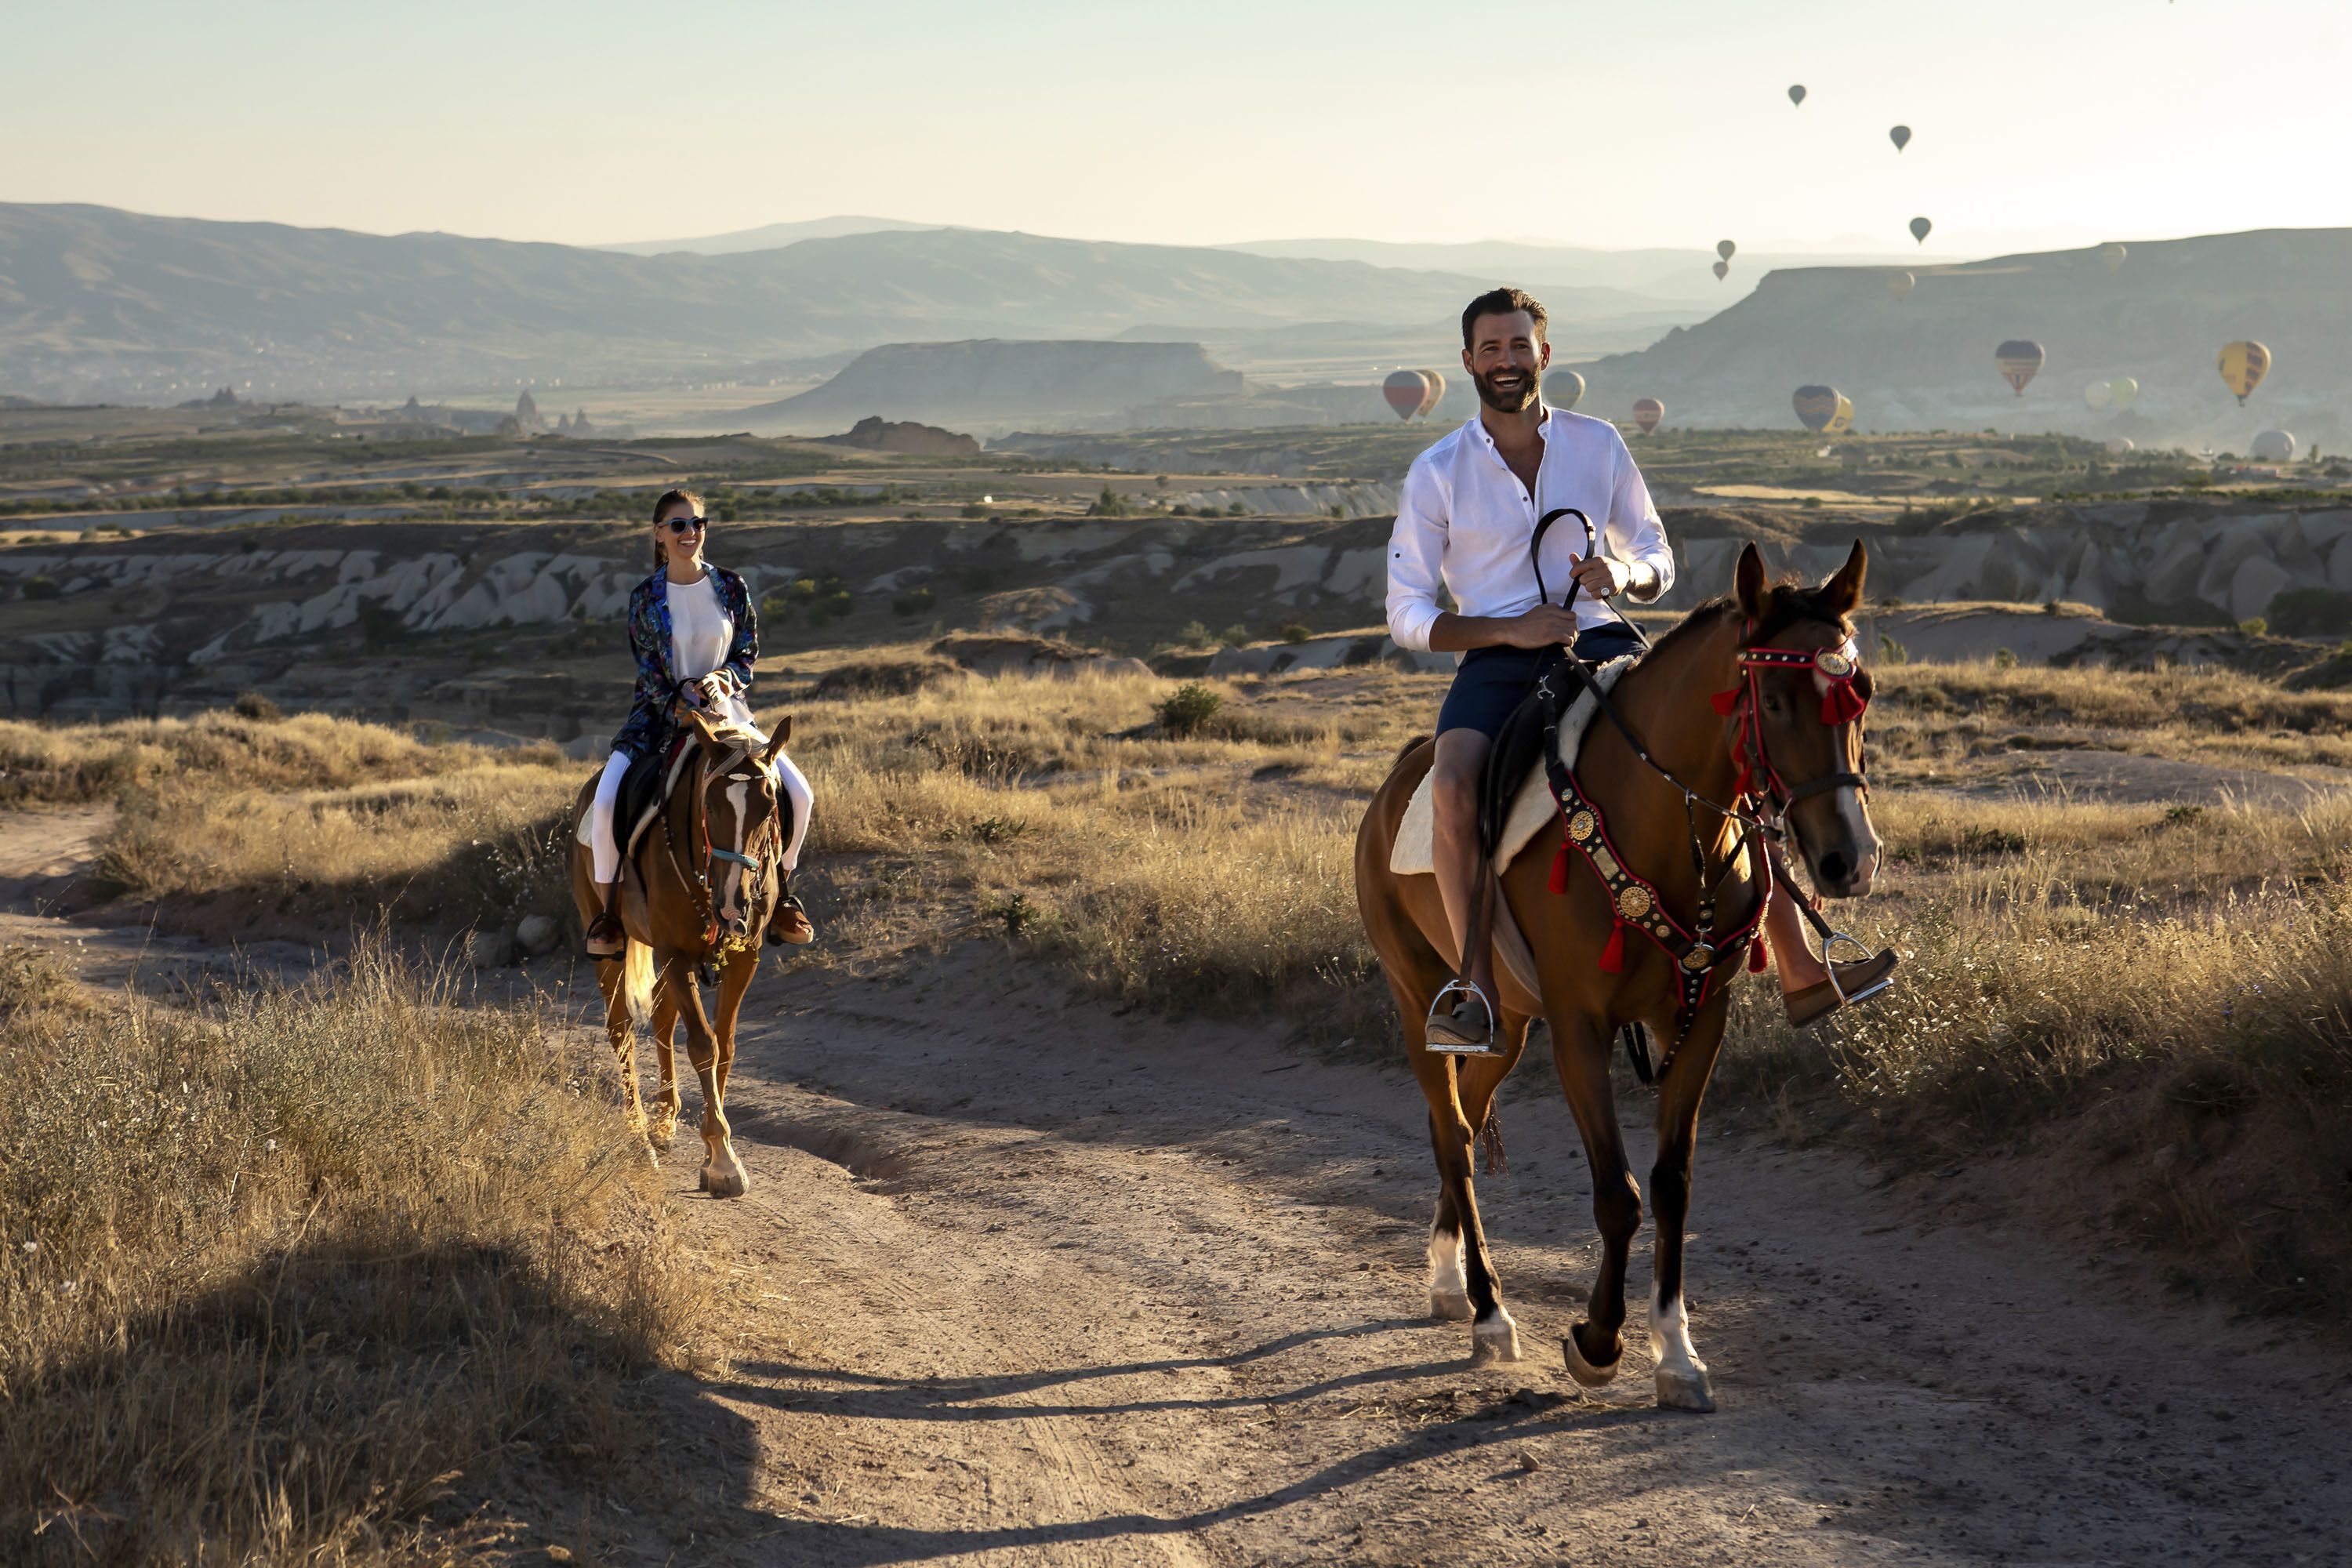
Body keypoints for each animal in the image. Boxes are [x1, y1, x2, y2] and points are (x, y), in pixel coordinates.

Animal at [569, 707, 795, 1198]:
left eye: (771, 808)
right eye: (709, 806)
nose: (733, 904)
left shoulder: (744, 956)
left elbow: (725, 1043)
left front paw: (714, 1153)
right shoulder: (675, 950)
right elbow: (703, 1044)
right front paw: (723, 1159)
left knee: (660, 1012)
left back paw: (664, 1121)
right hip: (611, 943)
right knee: (621, 1029)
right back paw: (640, 1136)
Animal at [1353, 541, 1883, 1410]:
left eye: (1861, 694)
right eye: (1771, 699)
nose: (1851, 860)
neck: (1660, 826)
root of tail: (1399, 777)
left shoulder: (1699, 1021)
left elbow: (1671, 1184)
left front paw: (1678, 1353)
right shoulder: (1580, 1027)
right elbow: (1618, 1193)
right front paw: (1599, 1341)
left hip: (1509, 1023)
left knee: (1460, 1119)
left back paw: (1450, 1277)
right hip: (1414, 996)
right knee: (1456, 1136)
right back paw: (1489, 1310)